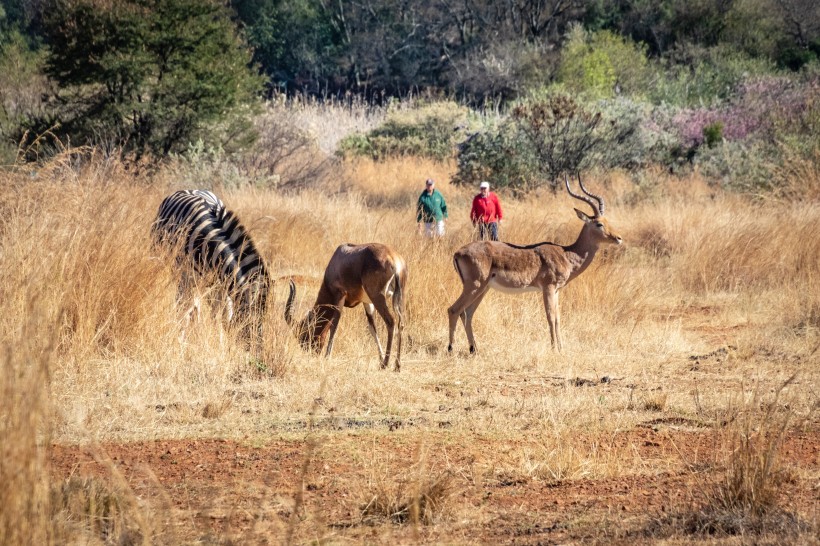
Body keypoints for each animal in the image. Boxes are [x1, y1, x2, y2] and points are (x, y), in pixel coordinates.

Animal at [152, 189, 270, 330]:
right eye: (248, 325)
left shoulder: (221, 283)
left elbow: (220, 314)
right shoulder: (186, 277)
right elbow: (184, 310)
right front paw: (181, 334)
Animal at [284, 242, 408, 370]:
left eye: (303, 334)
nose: (312, 353)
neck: (338, 257)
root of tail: (394, 260)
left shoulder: (340, 295)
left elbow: (334, 325)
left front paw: (327, 356)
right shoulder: (367, 302)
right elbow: (372, 329)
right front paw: (380, 359)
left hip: (377, 296)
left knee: (390, 321)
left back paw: (385, 364)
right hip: (399, 297)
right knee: (401, 323)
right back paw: (397, 366)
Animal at [448, 174, 620, 352]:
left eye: (606, 220)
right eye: (599, 224)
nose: (618, 238)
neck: (566, 254)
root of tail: (458, 252)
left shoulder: (556, 291)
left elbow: (558, 318)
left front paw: (561, 348)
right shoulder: (548, 288)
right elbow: (550, 317)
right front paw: (554, 349)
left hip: (483, 289)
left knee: (467, 313)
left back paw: (474, 349)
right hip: (474, 286)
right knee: (453, 310)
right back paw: (451, 349)